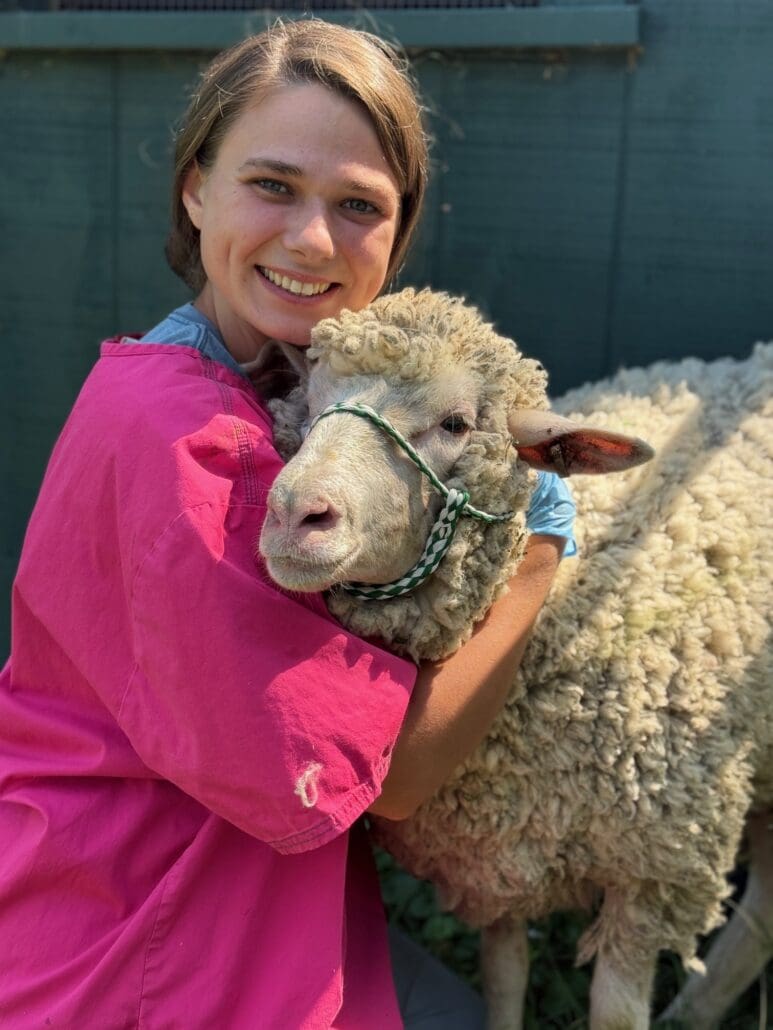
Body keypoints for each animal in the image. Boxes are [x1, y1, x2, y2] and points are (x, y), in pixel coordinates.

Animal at [258, 287, 773, 1029]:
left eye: (455, 423)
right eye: (310, 400)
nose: (294, 512)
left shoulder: (655, 872)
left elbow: (615, 1015)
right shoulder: (493, 854)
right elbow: (504, 977)